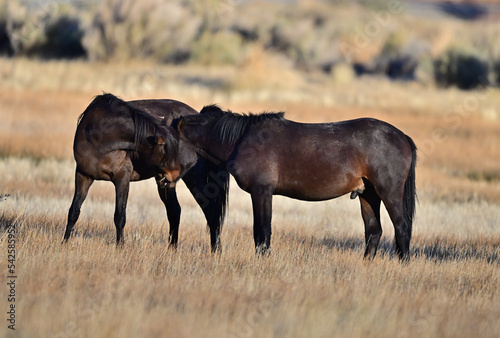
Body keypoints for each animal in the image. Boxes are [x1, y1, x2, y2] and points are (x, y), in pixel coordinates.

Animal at [61, 94, 229, 251]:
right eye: (165, 147)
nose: (175, 173)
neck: (98, 137)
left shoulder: (122, 179)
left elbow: (119, 216)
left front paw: (120, 247)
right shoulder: (83, 175)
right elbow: (74, 211)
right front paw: (64, 242)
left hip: (194, 180)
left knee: (210, 212)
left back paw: (216, 251)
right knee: (175, 211)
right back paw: (172, 249)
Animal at [177, 105, 418, 262]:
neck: (241, 140)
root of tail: (402, 136)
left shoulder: (261, 191)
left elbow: (262, 230)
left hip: (388, 192)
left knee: (402, 227)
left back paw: (403, 264)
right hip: (368, 194)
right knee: (373, 230)